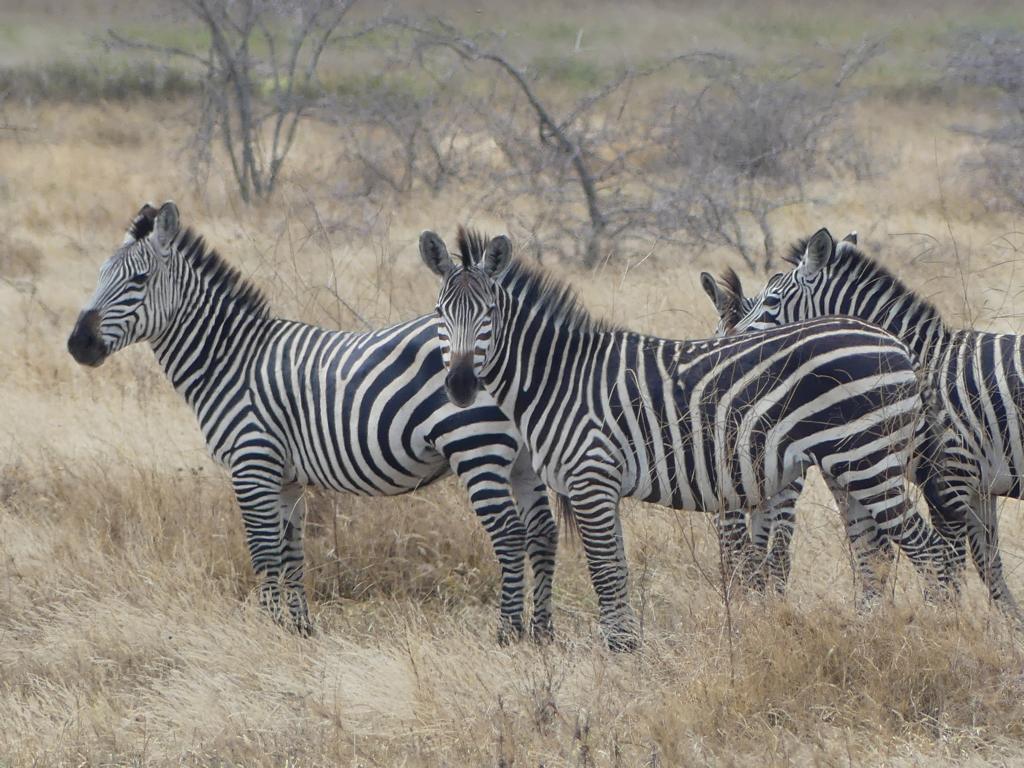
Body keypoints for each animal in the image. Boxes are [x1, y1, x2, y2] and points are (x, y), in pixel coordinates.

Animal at [68, 202, 561, 643]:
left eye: (139, 280)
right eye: (99, 276)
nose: (78, 345)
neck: (230, 361)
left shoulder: (252, 463)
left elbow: (264, 551)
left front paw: (266, 632)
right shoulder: (286, 477)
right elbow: (292, 552)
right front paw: (298, 630)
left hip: (476, 446)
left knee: (510, 534)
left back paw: (508, 634)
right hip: (523, 457)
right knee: (543, 531)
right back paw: (541, 635)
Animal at [415, 227, 950, 651]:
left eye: (488, 313)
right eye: (440, 312)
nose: (459, 387)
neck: (559, 377)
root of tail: (893, 342)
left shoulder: (591, 477)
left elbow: (604, 570)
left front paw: (619, 651)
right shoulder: (595, 485)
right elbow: (617, 567)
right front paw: (626, 645)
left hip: (869, 458)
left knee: (929, 549)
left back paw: (944, 631)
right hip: (849, 466)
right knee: (876, 553)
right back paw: (877, 631)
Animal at [729, 225, 1024, 618]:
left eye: (772, 301)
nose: (729, 342)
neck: (920, 362)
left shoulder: (951, 476)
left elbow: (952, 560)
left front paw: (947, 619)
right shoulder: (979, 484)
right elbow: (987, 563)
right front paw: (1009, 626)